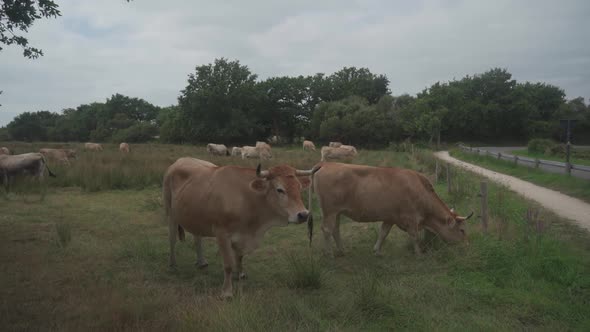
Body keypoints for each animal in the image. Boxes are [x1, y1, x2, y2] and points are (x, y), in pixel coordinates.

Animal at [164, 158, 322, 298]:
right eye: (280, 190)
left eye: (299, 187)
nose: (303, 214)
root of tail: (179, 161)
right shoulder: (222, 233)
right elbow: (228, 264)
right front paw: (227, 292)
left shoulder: (242, 235)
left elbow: (239, 257)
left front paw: (240, 273)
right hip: (171, 213)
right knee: (172, 239)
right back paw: (172, 263)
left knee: (197, 238)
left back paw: (201, 261)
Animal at [314, 163, 476, 256]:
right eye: (462, 230)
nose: (467, 246)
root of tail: (326, 164)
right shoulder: (411, 219)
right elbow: (415, 237)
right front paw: (419, 254)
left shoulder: (390, 217)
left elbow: (383, 233)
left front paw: (377, 251)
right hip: (330, 211)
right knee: (327, 230)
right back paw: (329, 254)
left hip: (337, 212)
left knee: (335, 230)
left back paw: (342, 250)